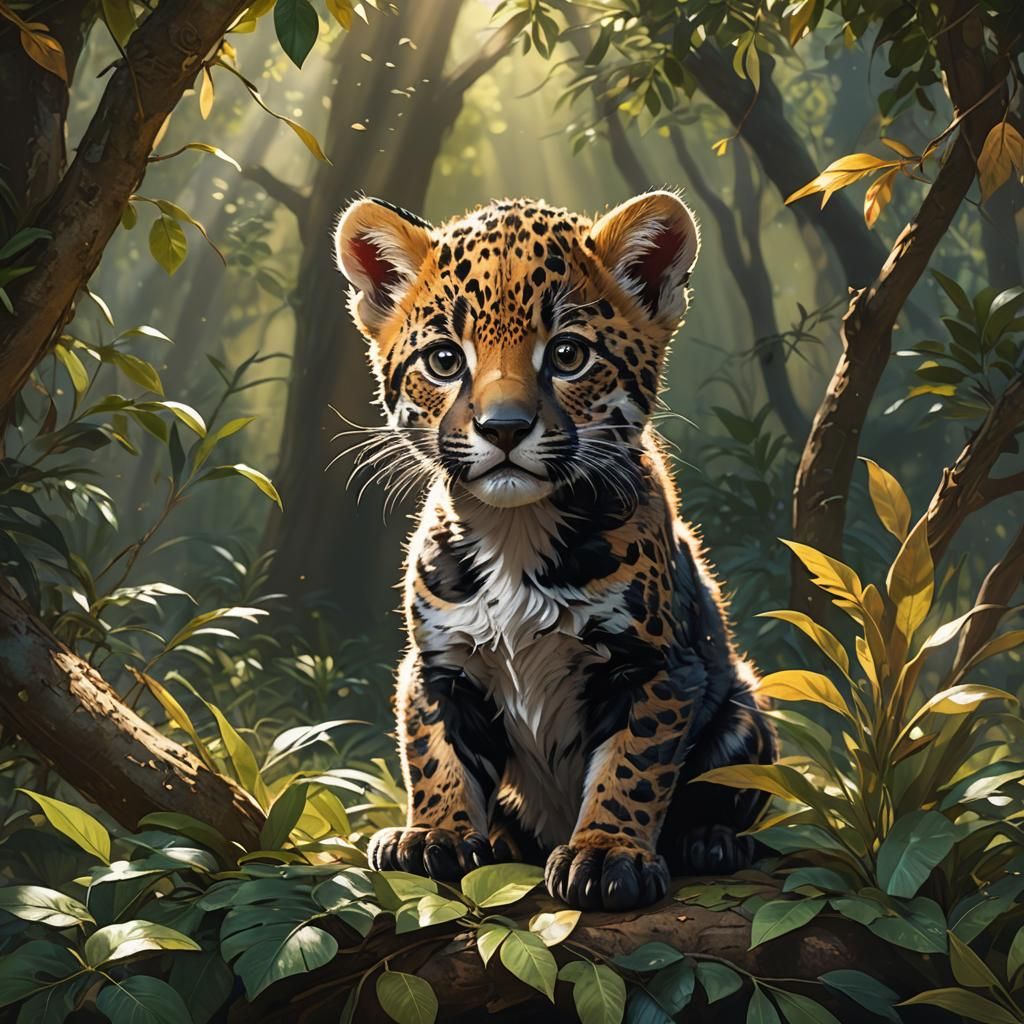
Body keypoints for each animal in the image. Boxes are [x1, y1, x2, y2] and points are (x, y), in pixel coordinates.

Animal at [333, 190, 776, 911]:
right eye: (445, 360)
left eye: (568, 355)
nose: (504, 428)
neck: (515, 532)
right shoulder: (436, 667)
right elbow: (436, 755)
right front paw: (434, 835)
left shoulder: (655, 668)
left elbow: (632, 767)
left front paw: (606, 855)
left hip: (745, 708)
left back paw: (710, 842)